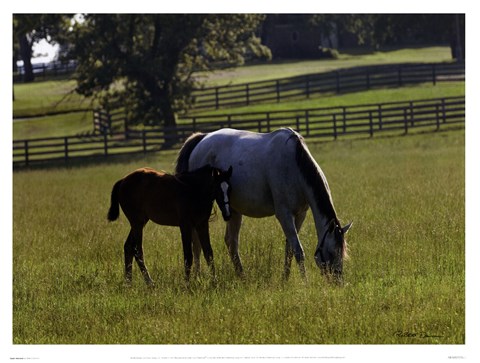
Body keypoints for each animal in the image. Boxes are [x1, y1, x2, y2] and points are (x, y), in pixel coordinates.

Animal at [174, 128, 350, 282]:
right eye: (331, 252)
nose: (338, 281)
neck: (294, 166)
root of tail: (201, 139)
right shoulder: (284, 215)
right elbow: (298, 251)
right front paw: (305, 283)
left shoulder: (299, 215)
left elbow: (289, 249)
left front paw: (285, 280)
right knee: (197, 241)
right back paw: (197, 276)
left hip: (234, 211)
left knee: (231, 243)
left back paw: (242, 277)